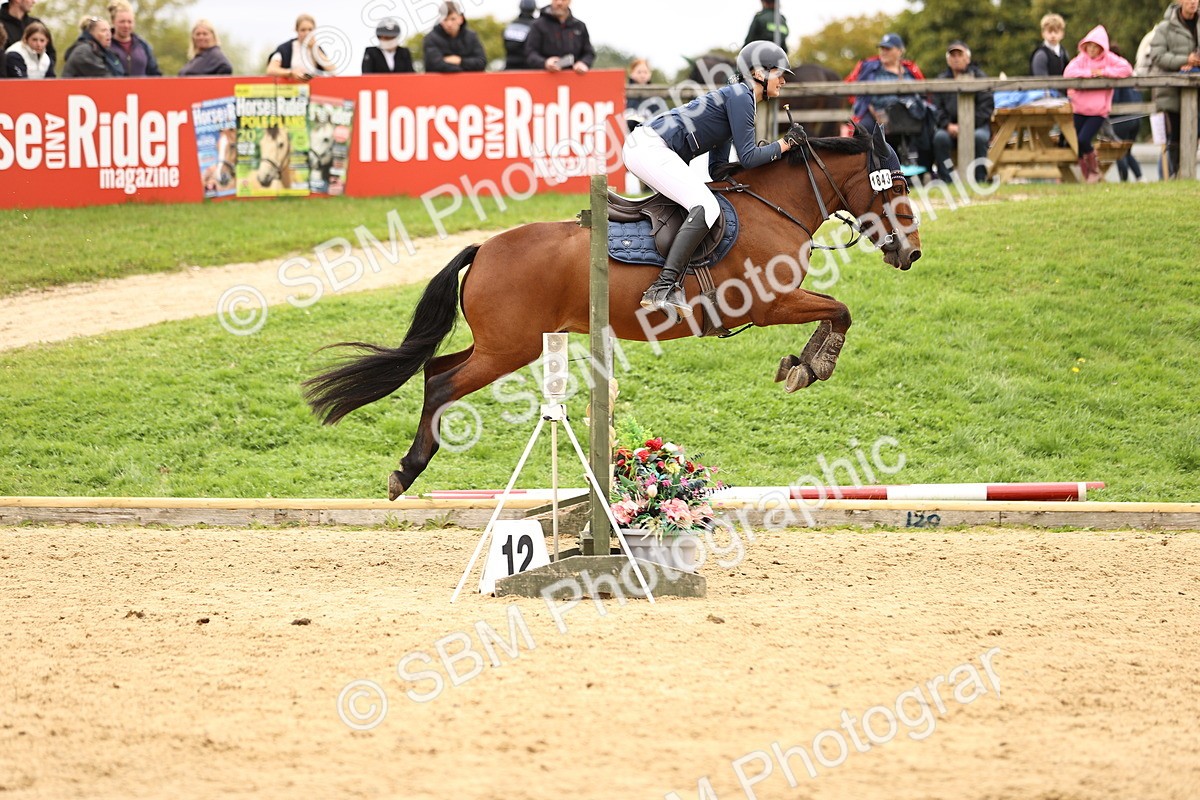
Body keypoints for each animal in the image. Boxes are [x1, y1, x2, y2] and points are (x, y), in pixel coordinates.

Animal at [304, 125, 922, 500]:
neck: (777, 206)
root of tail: (484, 249)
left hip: (500, 343)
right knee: (442, 383)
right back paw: (406, 472)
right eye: (897, 192)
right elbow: (840, 311)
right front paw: (812, 366)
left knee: (435, 369)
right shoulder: (772, 302)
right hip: (510, 348)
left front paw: (801, 364)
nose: (911, 254)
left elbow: (836, 312)